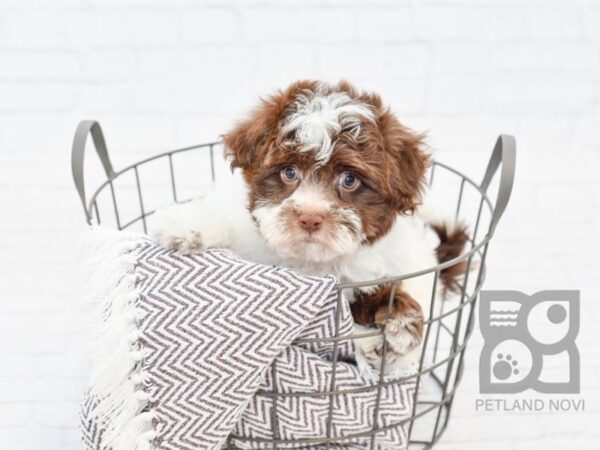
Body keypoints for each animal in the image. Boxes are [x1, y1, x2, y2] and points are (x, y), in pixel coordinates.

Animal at [151, 80, 468, 372]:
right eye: (290, 172)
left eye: (349, 180)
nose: (310, 217)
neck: (307, 261)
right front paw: (187, 226)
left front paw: (401, 319)